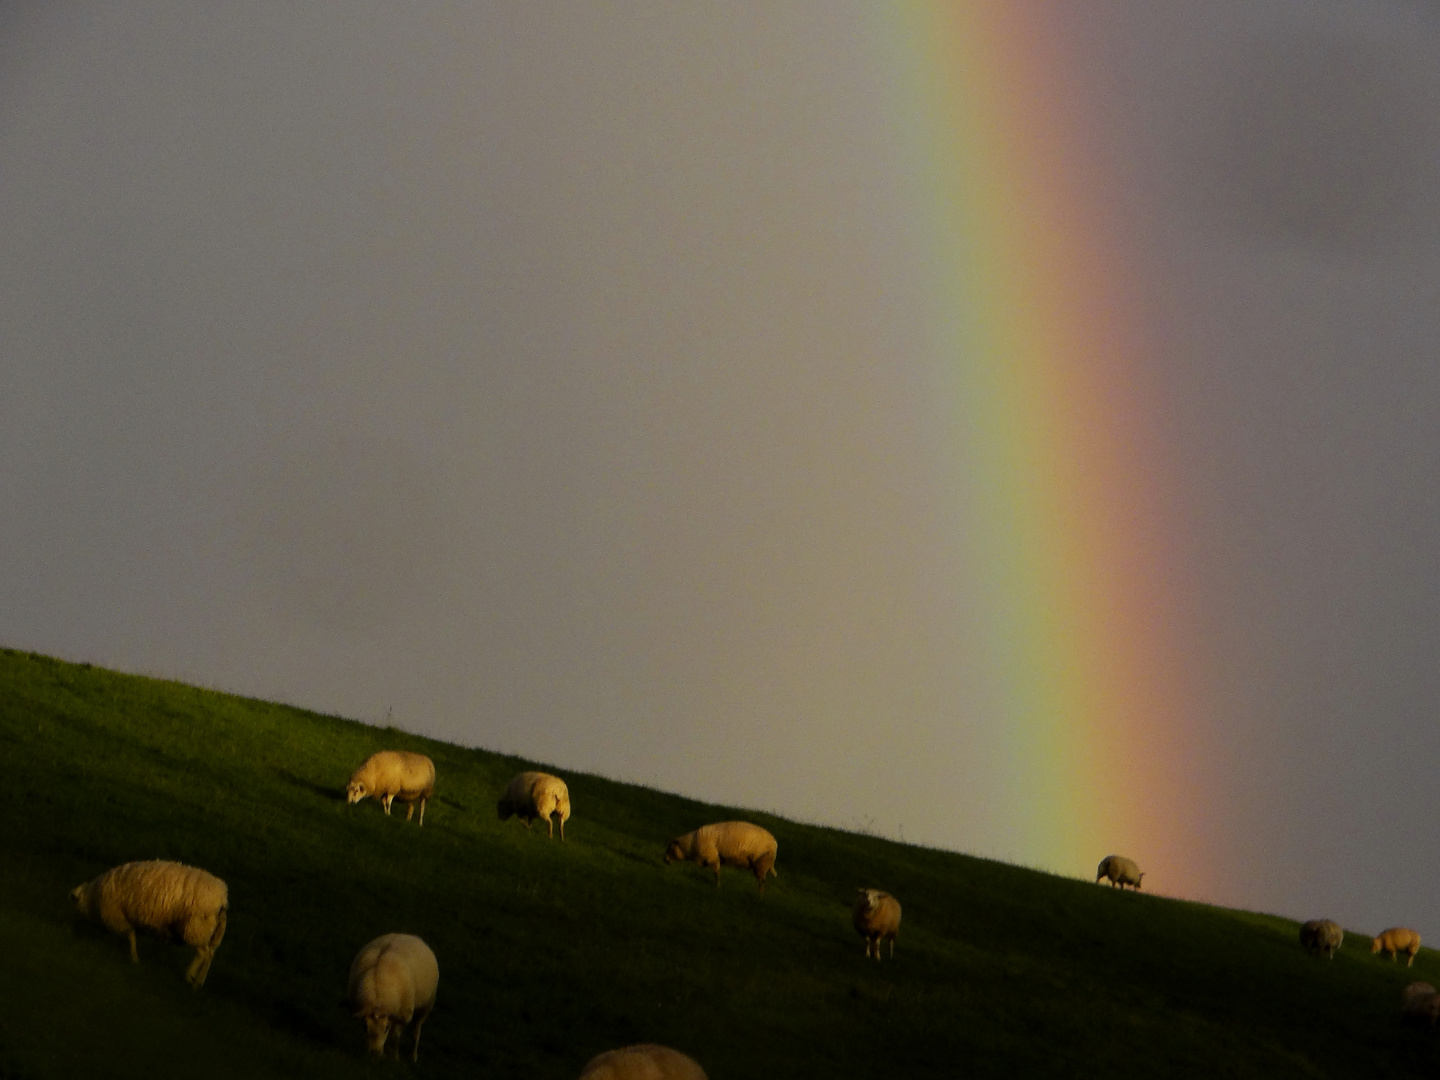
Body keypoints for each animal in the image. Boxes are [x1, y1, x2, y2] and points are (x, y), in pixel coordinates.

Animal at [69, 858, 227, 996]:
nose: (72, 928)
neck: (92, 897)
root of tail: (222, 898)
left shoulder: (120, 917)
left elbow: (130, 936)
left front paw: (133, 958)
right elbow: (131, 935)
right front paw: (134, 958)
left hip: (196, 928)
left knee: (203, 954)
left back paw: (190, 977)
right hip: (206, 931)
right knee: (209, 954)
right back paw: (198, 983)